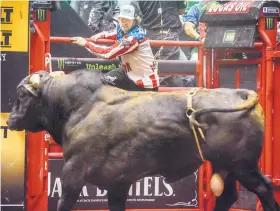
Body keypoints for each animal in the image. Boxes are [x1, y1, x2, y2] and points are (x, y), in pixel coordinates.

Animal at [6, 70, 280, 210]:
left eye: (21, 95)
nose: (10, 120)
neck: (80, 106)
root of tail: (240, 93)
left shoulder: (74, 172)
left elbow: (65, 201)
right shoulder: (118, 183)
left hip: (242, 166)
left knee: (264, 188)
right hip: (228, 167)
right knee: (228, 196)